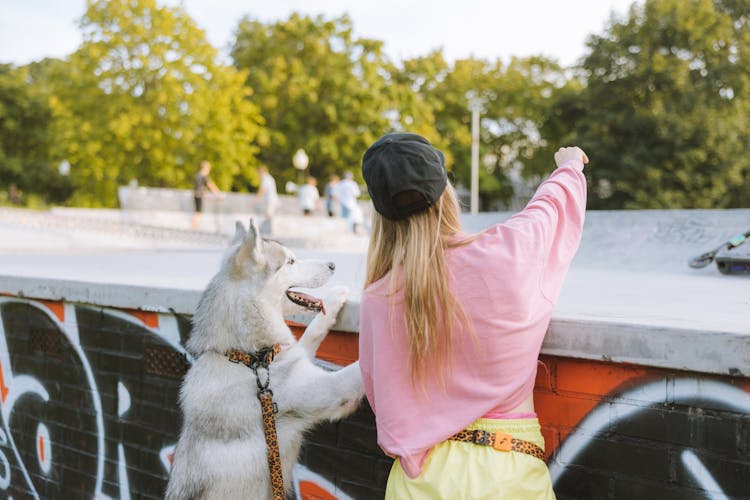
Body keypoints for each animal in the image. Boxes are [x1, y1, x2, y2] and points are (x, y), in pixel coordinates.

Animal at [166, 220, 366, 500]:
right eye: (291, 261)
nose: (333, 265)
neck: (250, 360)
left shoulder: (292, 357)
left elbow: (309, 335)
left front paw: (334, 300)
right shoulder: (329, 391)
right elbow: (356, 371)